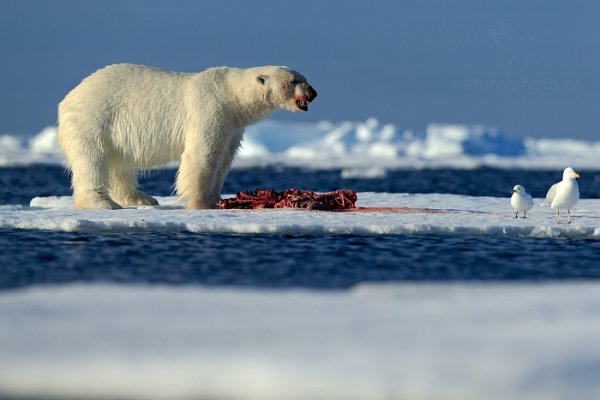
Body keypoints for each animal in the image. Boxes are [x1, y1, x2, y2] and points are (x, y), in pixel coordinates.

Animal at [56, 63, 318, 209]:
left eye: (305, 77)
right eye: (294, 80)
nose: (313, 92)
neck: (231, 95)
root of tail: (67, 98)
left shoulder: (232, 126)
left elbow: (224, 159)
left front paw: (216, 198)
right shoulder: (210, 109)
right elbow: (202, 156)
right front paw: (201, 203)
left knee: (118, 165)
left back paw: (142, 198)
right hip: (94, 119)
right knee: (92, 161)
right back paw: (103, 203)